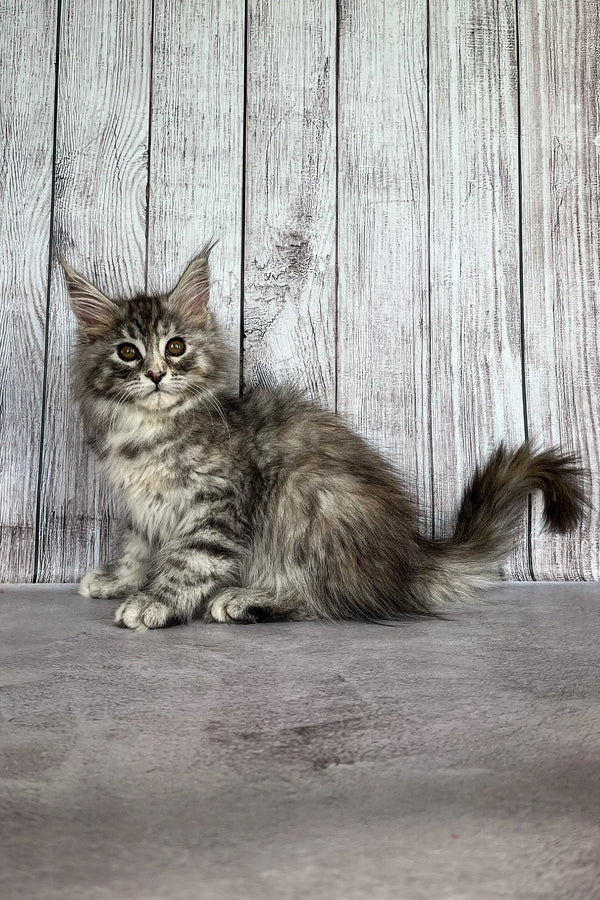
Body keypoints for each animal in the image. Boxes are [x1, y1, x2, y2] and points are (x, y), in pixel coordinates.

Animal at [63, 243, 588, 628]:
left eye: (175, 347)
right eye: (128, 352)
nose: (155, 374)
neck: (148, 432)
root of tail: (409, 559)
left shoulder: (218, 507)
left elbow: (188, 562)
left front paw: (155, 601)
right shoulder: (140, 512)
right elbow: (136, 551)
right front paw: (118, 580)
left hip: (307, 502)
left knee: (331, 601)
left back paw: (248, 599)